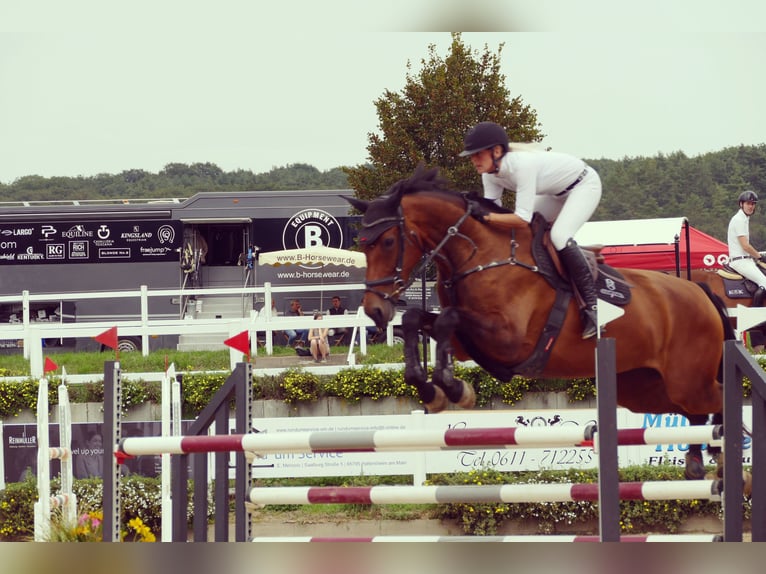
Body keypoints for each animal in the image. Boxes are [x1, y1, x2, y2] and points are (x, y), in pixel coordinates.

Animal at [348, 165, 736, 482]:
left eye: (387, 241)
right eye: (362, 245)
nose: (375, 311)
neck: (480, 254)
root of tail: (701, 291)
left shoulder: (508, 339)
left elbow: (448, 318)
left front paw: (453, 388)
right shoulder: (465, 343)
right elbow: (419, 318)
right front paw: (432, 389)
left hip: (687, 380)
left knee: (719, 401)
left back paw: (723, 462)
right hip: (646, 389)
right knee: (693, 413)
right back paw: (698, 463)